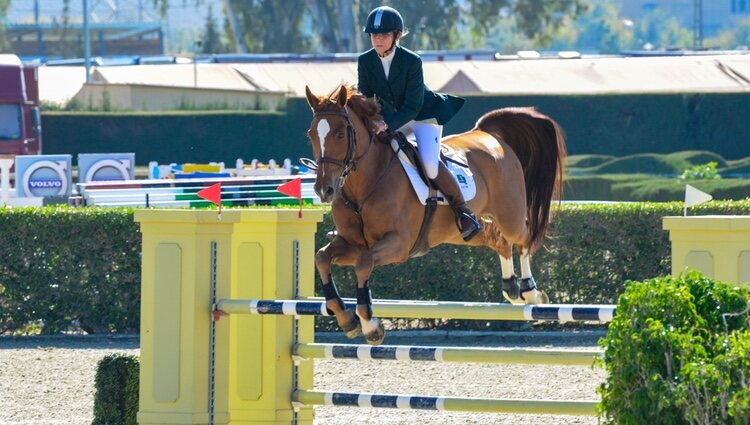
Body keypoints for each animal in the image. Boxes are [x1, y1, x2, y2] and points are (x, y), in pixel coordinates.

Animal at [302, 83, 568, 344]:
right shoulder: (353, 244)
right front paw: (346, 318)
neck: (364, 186)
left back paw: (531, 293)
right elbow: (322, 257)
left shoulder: (397, 245)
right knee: (498, 240)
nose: (324, 190)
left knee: (523, 239)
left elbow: (364, 263)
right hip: (462, 233)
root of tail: (488, 134)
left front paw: (370, 325)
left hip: (509, 215)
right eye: (311, 134)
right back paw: (511, 289)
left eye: (340, 134)